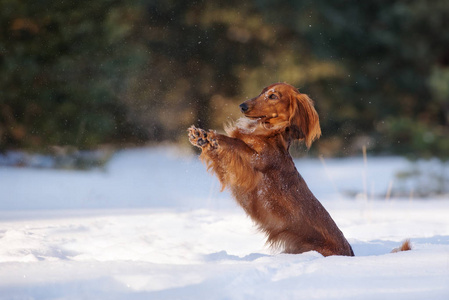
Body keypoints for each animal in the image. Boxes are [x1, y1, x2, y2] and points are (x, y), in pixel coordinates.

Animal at [189, 83, 410, 256]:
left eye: (273, 96)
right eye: (262, 92)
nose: (242, 106)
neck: (268, 132)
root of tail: (351, 255)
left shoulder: (251, 164)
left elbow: (234, 143)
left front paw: (213, 137)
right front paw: (201, 137)